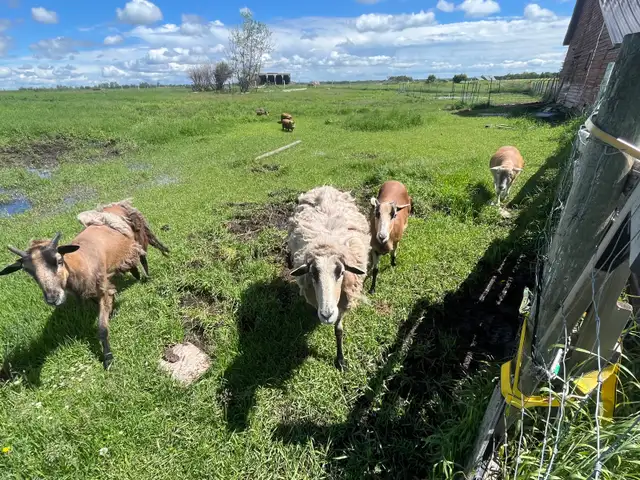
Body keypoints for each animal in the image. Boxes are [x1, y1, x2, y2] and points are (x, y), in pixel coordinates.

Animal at [0, 199, 169, 369]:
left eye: (59, 260)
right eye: (29, 272)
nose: (53, 298)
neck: (80, 261)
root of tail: (115, 205)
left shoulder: (102, 289)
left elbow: (102, 329)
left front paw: (108, 358)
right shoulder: (93, 291)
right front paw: (112, 311)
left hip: (139, 235)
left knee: (144, 255)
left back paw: (149, 274)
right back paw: (136, 274)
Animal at [287, 186, 370, 370]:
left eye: (341, 272)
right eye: (313, 273)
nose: (326, 315)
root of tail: (325, 188)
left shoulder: (343, 302)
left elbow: (339, 330)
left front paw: (340, 360)